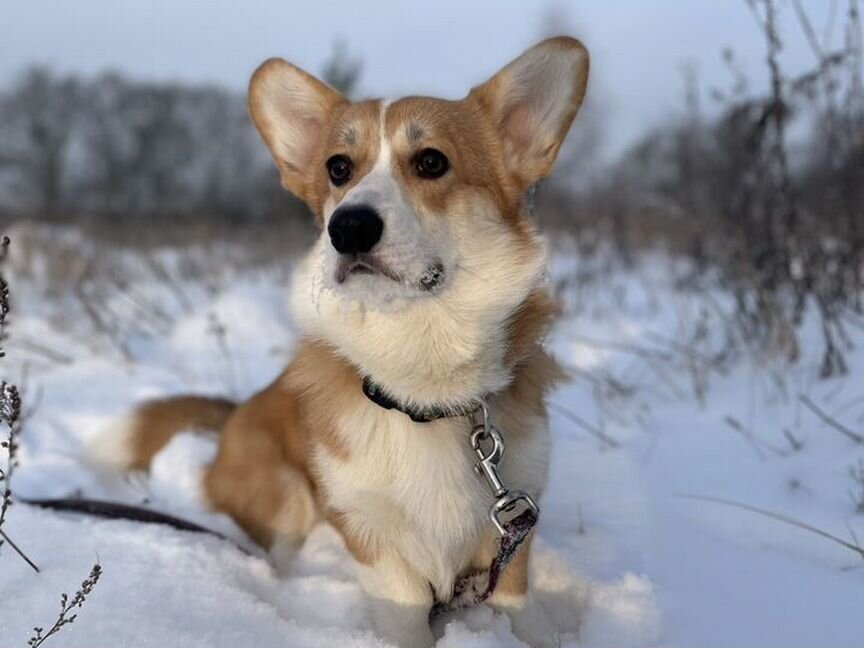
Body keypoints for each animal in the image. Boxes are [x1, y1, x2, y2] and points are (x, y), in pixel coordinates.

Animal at [94, 38, 592, 644]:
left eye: (432, 161)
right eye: (338, 169)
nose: (349, 227)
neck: (424, 383)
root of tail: (234, 414)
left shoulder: (516, 510)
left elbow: (518, 599)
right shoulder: (367, 524)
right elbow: (404, 607)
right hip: (283, 490)